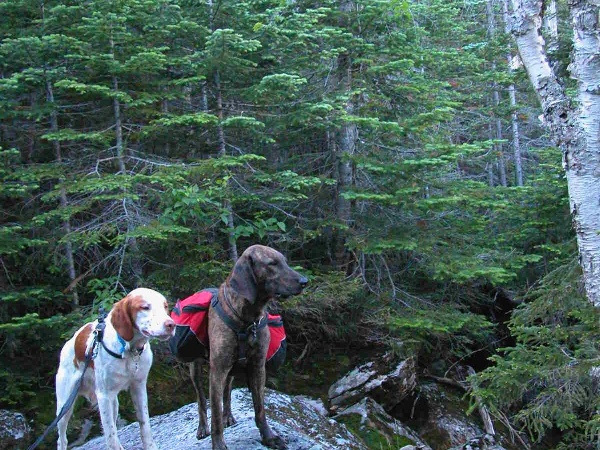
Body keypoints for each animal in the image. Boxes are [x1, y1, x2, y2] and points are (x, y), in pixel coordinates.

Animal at [54, 288, 177, 450]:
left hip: (114, 403)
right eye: (145, 307)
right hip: (65, 404)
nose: (171, 324)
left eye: (165, 306)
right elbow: (110, 434)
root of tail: (69, 343)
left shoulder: (138, 386)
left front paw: (150, 446)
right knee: (61, 438)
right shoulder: (103, 395)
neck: (130, 350)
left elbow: (144, 423)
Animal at [189, 246, 310, 450]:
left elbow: (260, 408)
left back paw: (228, 416)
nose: (304, 281)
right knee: (201, 399)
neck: (247, 319)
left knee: (227, 392)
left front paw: (269, 437)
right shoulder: (217, 370)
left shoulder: (257, 366)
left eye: (284, 261)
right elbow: (215, 416)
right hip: (195, 368)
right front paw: (218, 444)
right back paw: (202, 427)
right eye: (272, 264)